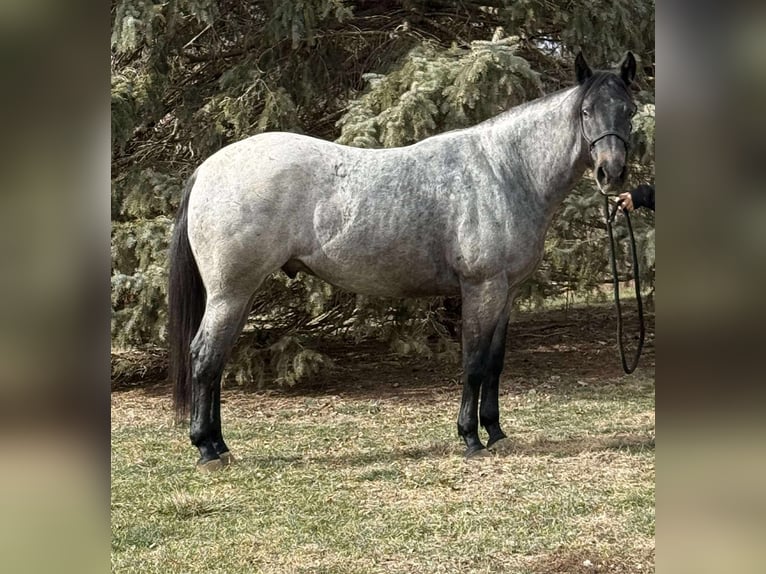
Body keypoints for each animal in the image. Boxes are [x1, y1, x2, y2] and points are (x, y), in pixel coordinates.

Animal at [168, 52, 637, 471]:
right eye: (586, 111)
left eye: (630, 110)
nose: (612, 174)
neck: (505, 170)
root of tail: (208, 168)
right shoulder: (482, 288)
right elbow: (473, 363)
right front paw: (471, 439)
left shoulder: (507, 294)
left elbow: (495, 364)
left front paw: (497, 433)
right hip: (230, 292)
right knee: (205, 357)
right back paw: (207, 449)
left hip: (240, 295)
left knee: (217, 360)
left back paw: (220, 445)